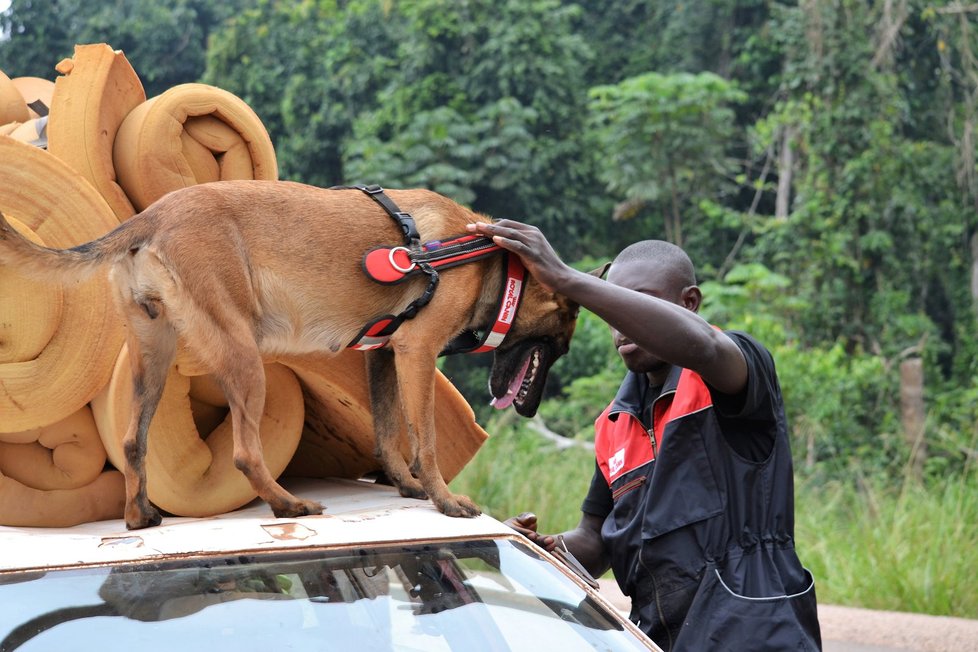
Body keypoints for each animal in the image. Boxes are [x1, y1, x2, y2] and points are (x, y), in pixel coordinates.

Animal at [0, 180, 580, 528]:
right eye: (563, 338)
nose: (532, 409)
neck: (487, 260)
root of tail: (153, 215)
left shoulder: (383, 355)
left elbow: (388, 433)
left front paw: (405, 486)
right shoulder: (416, 353)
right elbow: (426, 441)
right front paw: (443, 499)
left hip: (153, 358)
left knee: (132, 442)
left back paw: (140, 516)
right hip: (244, 356)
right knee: (243, 453)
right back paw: (286, 504)